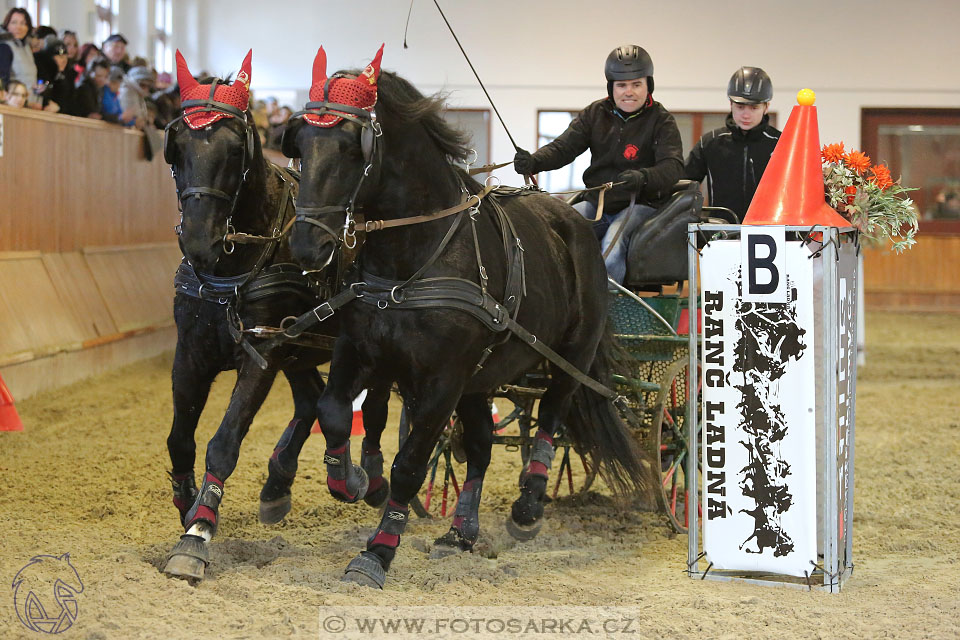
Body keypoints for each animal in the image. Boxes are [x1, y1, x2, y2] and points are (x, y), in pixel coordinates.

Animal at [161, 51, 390, 580]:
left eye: (233, 152)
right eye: (177, 147)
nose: (199, 241)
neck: (233, 266)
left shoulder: (261, 351)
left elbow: (224, 441)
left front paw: (198, 531)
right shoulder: (193, 351)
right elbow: (180, 438)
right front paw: (187, 502)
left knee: (371, 409)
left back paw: (370, 480)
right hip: (301, 346)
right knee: (311, 402)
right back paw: (280, 483)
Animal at [282, 46, 648, 592]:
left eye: (352, 148)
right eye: (301, 144)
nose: (307, 245)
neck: (413, 259)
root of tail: (575, 221)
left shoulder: (443, 379)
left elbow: (411, 462)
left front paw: (377, 551)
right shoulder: (361, 351)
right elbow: (333, 412)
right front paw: (354, 480)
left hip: (570, 356)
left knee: (551, 418)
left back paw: (527, 507)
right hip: (483, 376)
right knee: (479, 447)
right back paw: (461, 532)